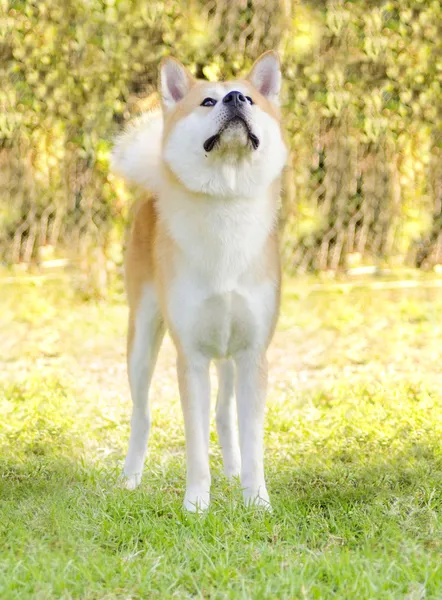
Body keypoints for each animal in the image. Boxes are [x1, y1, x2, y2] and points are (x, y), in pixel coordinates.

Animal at [111, 50, 286, 510]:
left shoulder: (252, 354)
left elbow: (252, 440)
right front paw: (195, 505)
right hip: (142, 340)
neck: (225, 205)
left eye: (251, 99)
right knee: (142, 414)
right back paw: (130, 478)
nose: (236, 98)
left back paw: (233, 471)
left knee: (224, 414)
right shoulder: (189, 357)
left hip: (226, 358)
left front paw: (257, 501)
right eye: (207, 102)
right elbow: (194, 444)